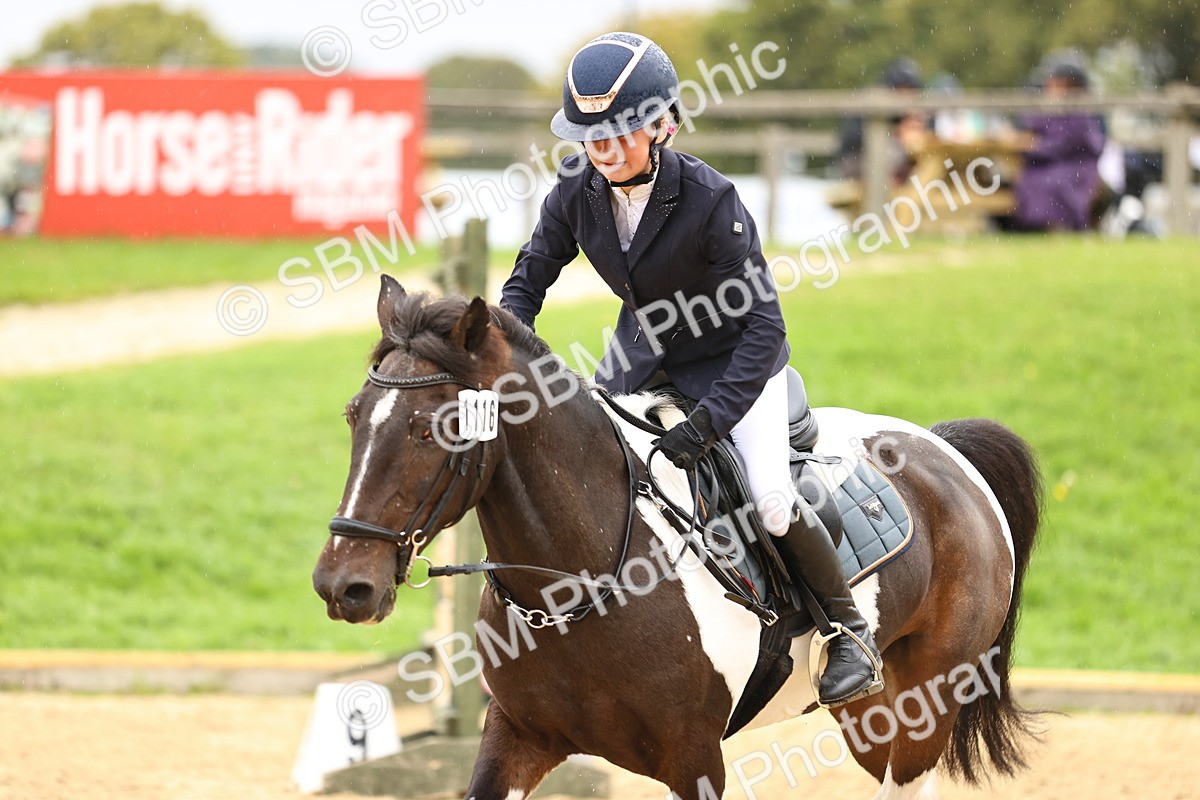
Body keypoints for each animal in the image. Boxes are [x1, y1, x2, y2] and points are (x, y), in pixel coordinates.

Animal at [312, 276, 1043, 800]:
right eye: (352, 417)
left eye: (431, 429)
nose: (343, 585)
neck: (581, 583)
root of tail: (944, 449)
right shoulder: (516, 738)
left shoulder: (693, 759)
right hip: (871, 714)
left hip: (928, 695)